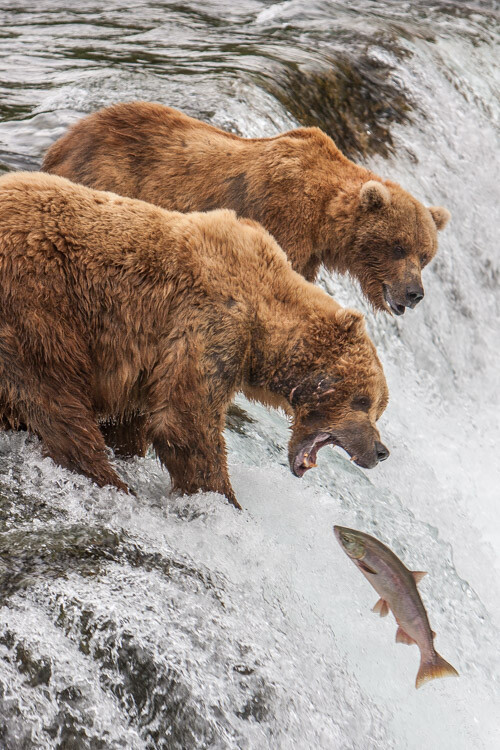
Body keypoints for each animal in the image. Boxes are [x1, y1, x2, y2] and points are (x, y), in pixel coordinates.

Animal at [0, 173, 390, 508]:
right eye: (362, 400)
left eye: (378, 408)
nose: (380, 450)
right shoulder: (209, 323)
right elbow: (186, 421)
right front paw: (226, 503)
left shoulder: (151, 361)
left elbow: (136, 420)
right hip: (40, 302)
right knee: (56, 394)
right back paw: (109, 481)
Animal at [42, 100, 450, 318]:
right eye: (398, 247)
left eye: (425, 255)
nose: (414, 293)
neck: (323, 220)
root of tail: (64, 141)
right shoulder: (282, 218)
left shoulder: (308, 252)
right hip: (108, 180)